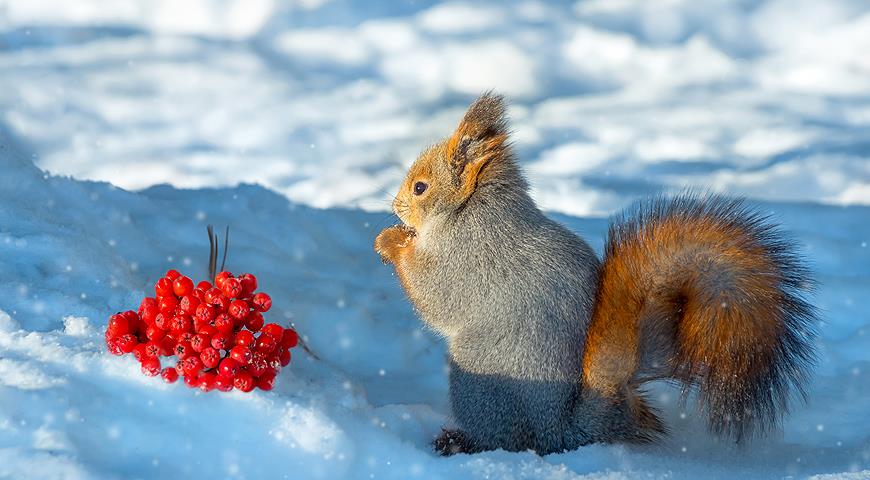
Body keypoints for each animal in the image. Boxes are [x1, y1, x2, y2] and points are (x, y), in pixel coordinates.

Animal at [372, 92, 816, 456]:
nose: (395, 207)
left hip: (480, 383)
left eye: (420, 187)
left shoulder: (468, 258)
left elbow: (436, 295)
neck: (475, 211)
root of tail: (562, 430)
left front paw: (390, 241)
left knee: (507, 440)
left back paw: (462, 443)